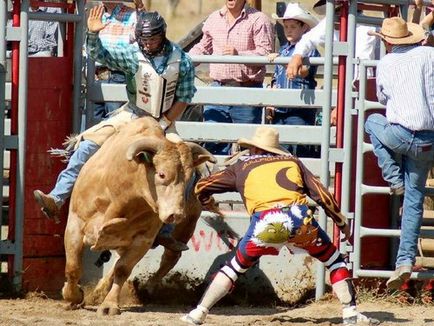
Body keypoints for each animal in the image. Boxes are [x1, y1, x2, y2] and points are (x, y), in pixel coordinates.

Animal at [61, 116, 215, 314]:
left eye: (188, 178)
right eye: (161, 174)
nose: (177, 214)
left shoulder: (143, 240)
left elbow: (123, 269)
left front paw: (109, 305)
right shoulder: (75, 225)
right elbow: (73, 267)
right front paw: (72, 297)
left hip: (186, 228)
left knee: (170, 256)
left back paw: (148, 288)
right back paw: (98, 292)